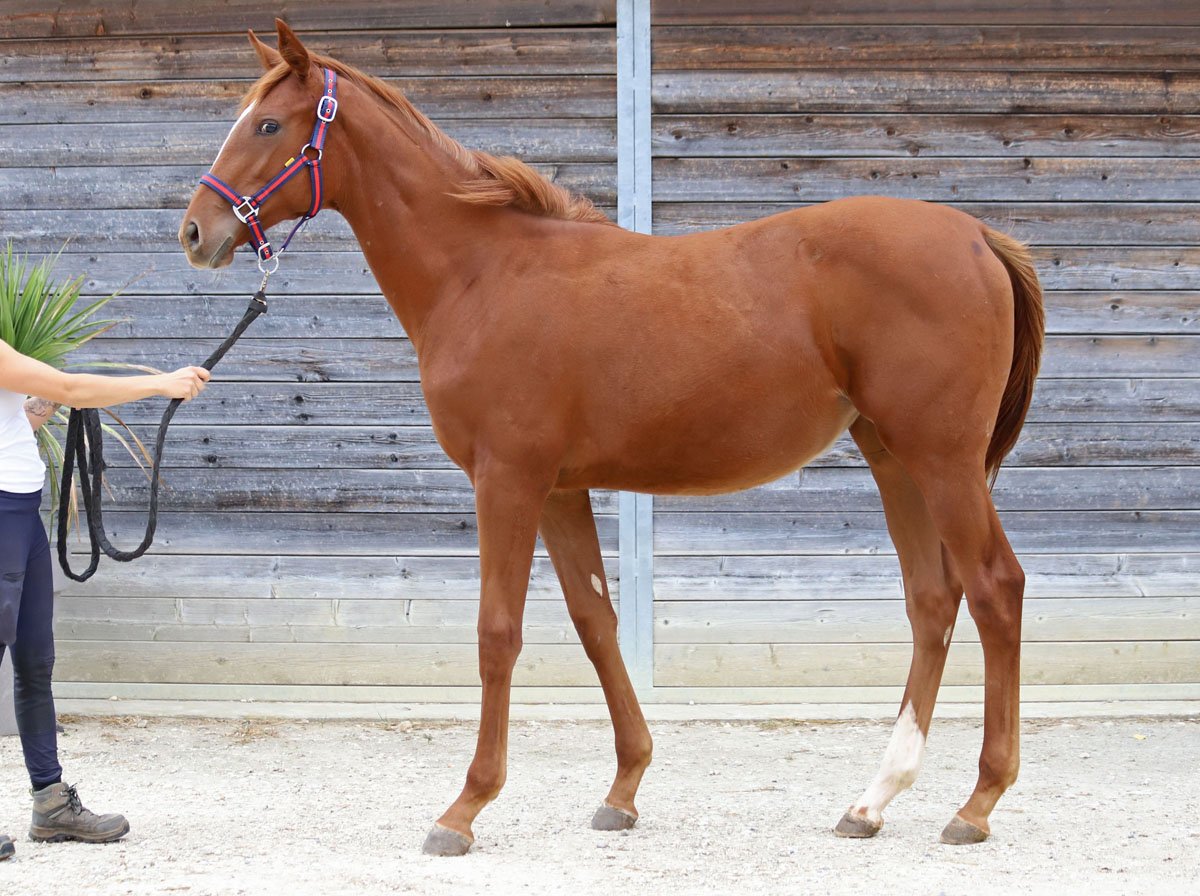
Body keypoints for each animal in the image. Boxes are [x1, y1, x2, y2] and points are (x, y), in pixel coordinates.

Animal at [179, 20, 1044, 856]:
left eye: (267, 123)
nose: (195, 231)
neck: (480, 275)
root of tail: (979, 236)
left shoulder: (508, 480)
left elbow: (498, 632)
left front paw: (465, 808)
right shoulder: (561, 489)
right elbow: (595, 623)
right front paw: (623, 790)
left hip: (944, 461)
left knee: (995, 589)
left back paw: (977, 802)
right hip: (893, 457)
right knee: (932, 601)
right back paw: (872, 802)